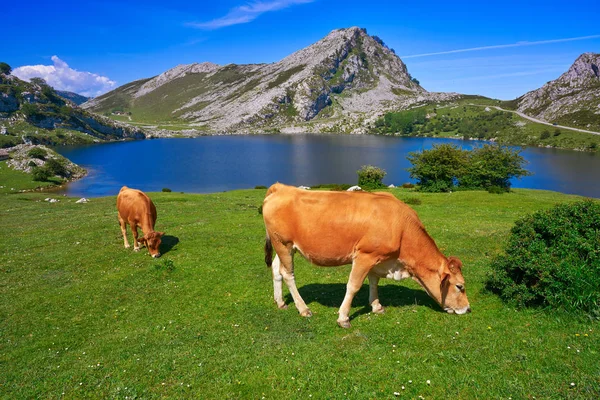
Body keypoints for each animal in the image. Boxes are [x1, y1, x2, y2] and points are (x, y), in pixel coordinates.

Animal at [262, 184, 468, 328]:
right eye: (460, 286)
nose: (468, 309)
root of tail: (281, 187)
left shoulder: (378, 258)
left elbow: (374, 281)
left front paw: (376, 306)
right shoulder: (364, 255)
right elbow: (354, 285)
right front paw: (343, 317)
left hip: (284, 247)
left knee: (276, 270)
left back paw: (280, 302)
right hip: (284, 244)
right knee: (288, 274)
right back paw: (303, 308)